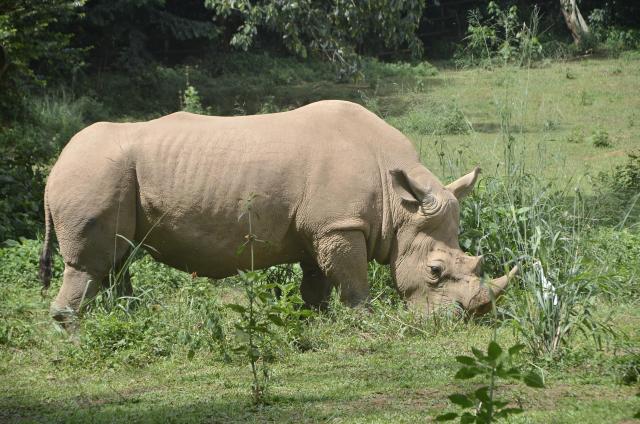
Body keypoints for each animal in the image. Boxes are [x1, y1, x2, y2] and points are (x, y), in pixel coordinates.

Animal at [39, 100, 516, 322]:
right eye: (435, 271)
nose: (465, 319)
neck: (398, 203)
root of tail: (54, 166)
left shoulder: (320, 228)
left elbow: (318, 281)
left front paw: (316, 320)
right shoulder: (340, 226)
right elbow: (353, 280)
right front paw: (363, 320)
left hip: (105, 176)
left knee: (118, 257)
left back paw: (128, 317)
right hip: (93, 174)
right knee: (90, 263)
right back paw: (73, 333)